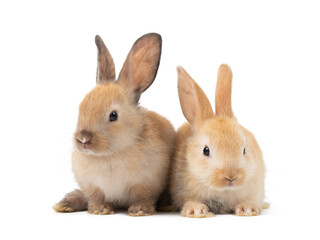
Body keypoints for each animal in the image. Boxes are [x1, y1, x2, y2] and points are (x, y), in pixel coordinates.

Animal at [53, 33, 176, 216]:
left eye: (113, 115)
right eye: (81, 108)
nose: (83, 139)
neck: (109, 155)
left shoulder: (147, 184)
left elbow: (143, 197)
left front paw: (139, 210)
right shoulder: (92, 187)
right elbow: (96, 198)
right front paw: (98, 210)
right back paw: (65, 204)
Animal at [170, 63, 268, 218]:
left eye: (244, 150)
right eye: (206, 150)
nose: (231, 176)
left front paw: (248, 209)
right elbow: (191, 201)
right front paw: (196, 211)